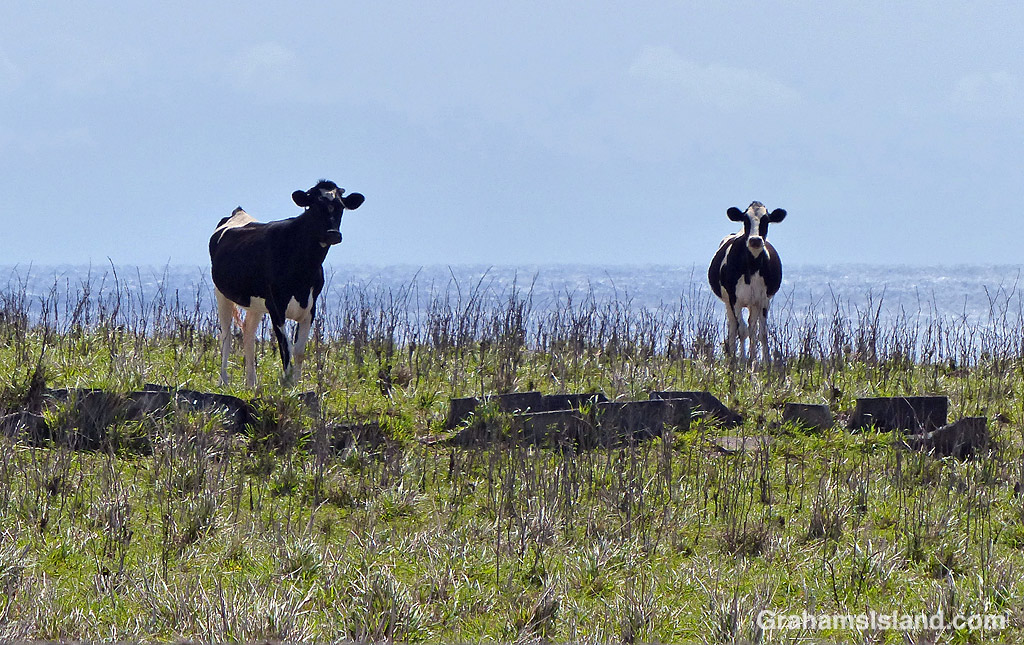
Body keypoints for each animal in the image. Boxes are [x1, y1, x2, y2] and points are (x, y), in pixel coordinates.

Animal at [209, 179, 365, 386]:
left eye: (341, 207)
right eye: (315, 206)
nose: (333, 234)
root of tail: (239, 212)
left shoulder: (310, 307)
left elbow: (298, 351)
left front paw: (295, 385)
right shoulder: (276, 306)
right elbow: (286, 349)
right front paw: (287, 385)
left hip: (255, 304)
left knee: (248, 334)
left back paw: (251, 383)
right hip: (222, 294)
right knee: (226, 336)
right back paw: (224, 381)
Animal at [708, 201, 787, 364]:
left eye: (766, 220)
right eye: (745, 220)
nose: (755, 240)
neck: (752, 266)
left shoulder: (763, 300)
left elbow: (761, 332)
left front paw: (761, 362)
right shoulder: (734, 300)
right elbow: (742, 330)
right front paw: (742, 362)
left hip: (753, 303)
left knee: (752, 328)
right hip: (728, 302)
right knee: (733, 327)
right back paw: (732, 358)